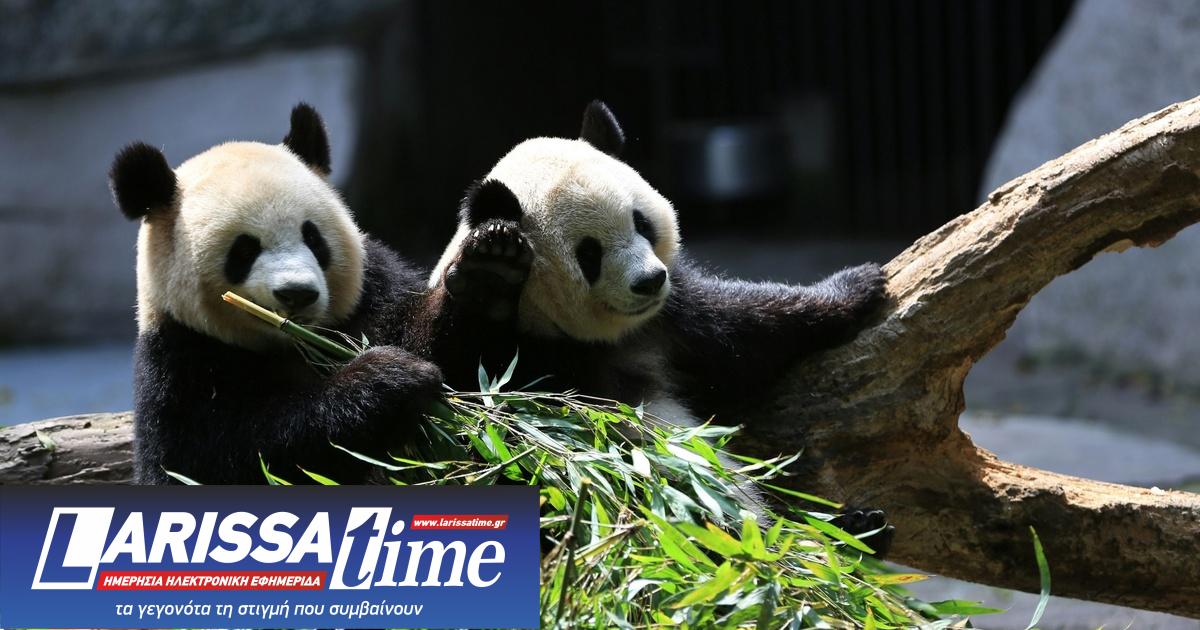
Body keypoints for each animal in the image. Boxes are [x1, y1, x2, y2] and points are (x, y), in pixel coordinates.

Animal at [111, 103, 441, 485]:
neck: (293, 343)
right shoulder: (179, 360)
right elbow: (217, 457)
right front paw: (387, 379)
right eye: (243, 250)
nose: (297, 293)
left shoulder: (375, 292)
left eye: (312, 237)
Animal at [423, 101, 893, 551]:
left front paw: (856, 285)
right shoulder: (517, 360)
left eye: (641, 223)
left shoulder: (670, 321)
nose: (649, 280)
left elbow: (746, 332)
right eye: (589, 254)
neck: (587, 336)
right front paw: (490, 273)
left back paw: (858, 528)